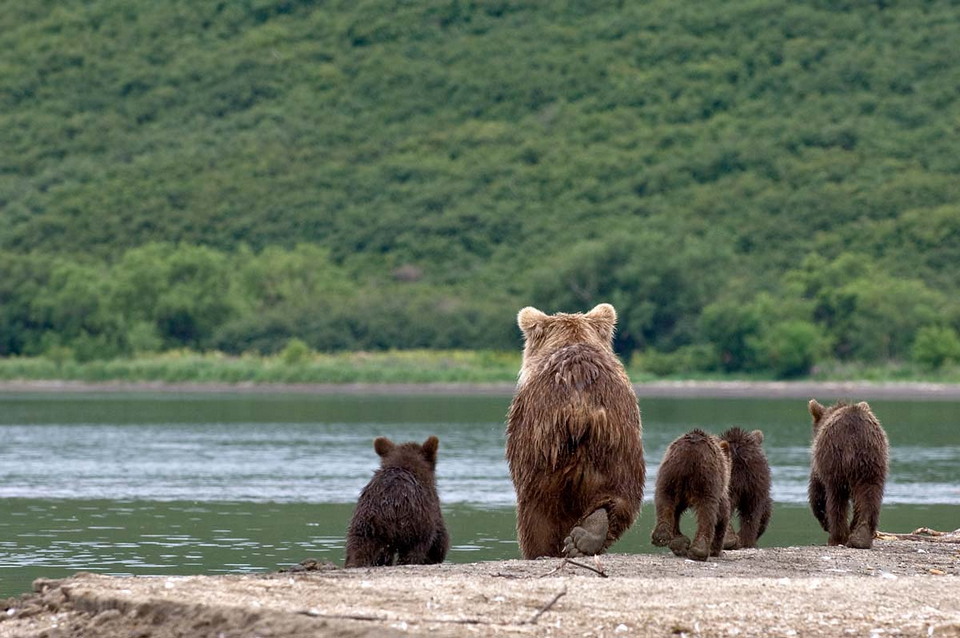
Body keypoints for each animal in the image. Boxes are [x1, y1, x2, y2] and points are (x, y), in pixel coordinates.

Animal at [502, 304, 644, 560]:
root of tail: (580, 407)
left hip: (539, 448)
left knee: (537, 511)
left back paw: (544, 549)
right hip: (617, 442)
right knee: (621, 493)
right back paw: (590, 533)